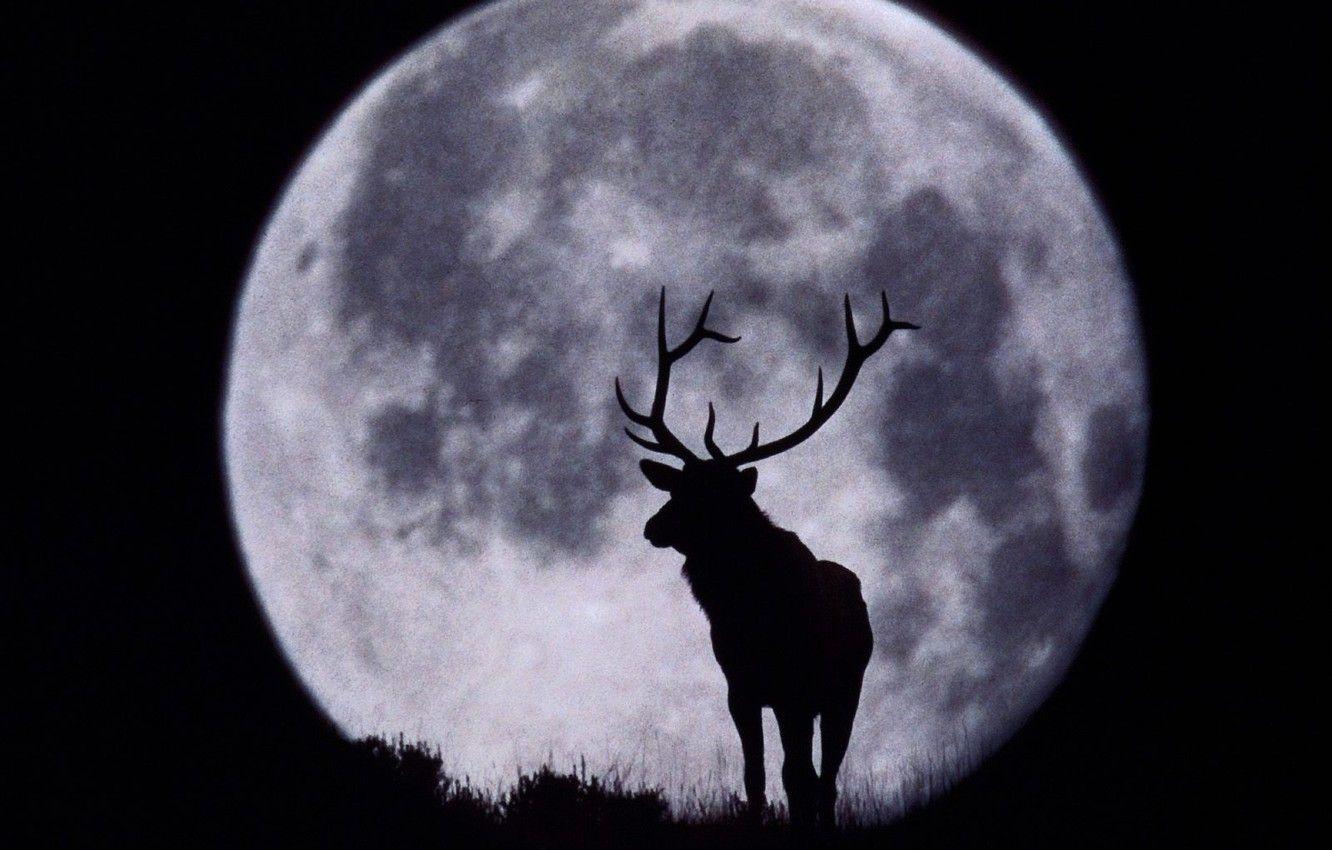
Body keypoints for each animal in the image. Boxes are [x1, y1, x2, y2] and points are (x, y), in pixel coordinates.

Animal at [614, 288, 918, 829]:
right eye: (677, 487)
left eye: (713, 497)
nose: (653, 527)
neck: (751, 613)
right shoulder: (742, 688)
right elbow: (754, 776)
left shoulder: (796, 687)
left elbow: (796, 777)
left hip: (844, 692)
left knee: (824, 779)